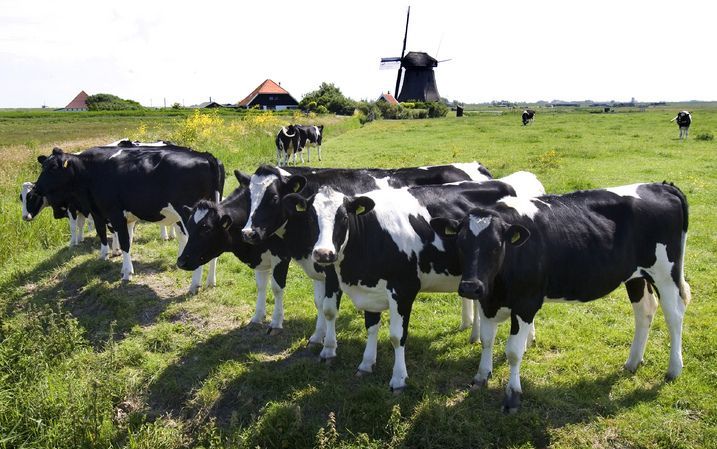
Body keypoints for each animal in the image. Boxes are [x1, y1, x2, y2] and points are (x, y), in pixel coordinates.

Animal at [32, 142, 224, 292]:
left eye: (53, 167)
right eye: (43, 166)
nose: (36, 187)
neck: (91, 171)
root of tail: (206, 156)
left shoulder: (111, 212)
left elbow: (121, 240)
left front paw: (126, 272)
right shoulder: (126, 217)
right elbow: (129, 241)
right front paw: (124, 268)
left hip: (189, 215)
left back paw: (194, 285)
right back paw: (210, 282)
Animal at [177, 172, 290, 332]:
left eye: (207, 229)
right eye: (189, 227)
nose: (181, 261)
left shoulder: (282, 256)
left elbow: (277, 288)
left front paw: (276, 322)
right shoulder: (260, 259)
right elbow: (261, 286)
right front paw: (257, 317)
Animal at [238, 161, 496, 356]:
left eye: (273, 198)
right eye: (249, 198)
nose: (248, 233)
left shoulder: (331, 270)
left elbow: (327, 307)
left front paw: (325, 345)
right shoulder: (319, 267)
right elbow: (319, 304)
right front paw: (316, 337)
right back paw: (470, 329)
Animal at [280, 172, 544, 388]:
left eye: (343, 217)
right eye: (311, 218)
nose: (324, 254)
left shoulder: (403, 289)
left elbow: (397, 337)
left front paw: (398, 378)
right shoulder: (369, 289)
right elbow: (371, 327)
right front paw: (366, 363)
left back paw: (527, 340)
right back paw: (477, 336)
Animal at [434, 182, 692, 412]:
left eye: (497, 245)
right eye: (461, 244)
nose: (470, 287)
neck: (498, 284)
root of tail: (660, 185)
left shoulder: (526, 303)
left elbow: (513, 352)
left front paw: (512, 396)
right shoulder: (488, 301)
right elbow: (487, 340)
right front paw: (480, 378)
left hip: (666, 273)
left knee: (674, 315)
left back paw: (674, 369)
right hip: (635, 276)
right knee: (645, 311)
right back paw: (633, 362)